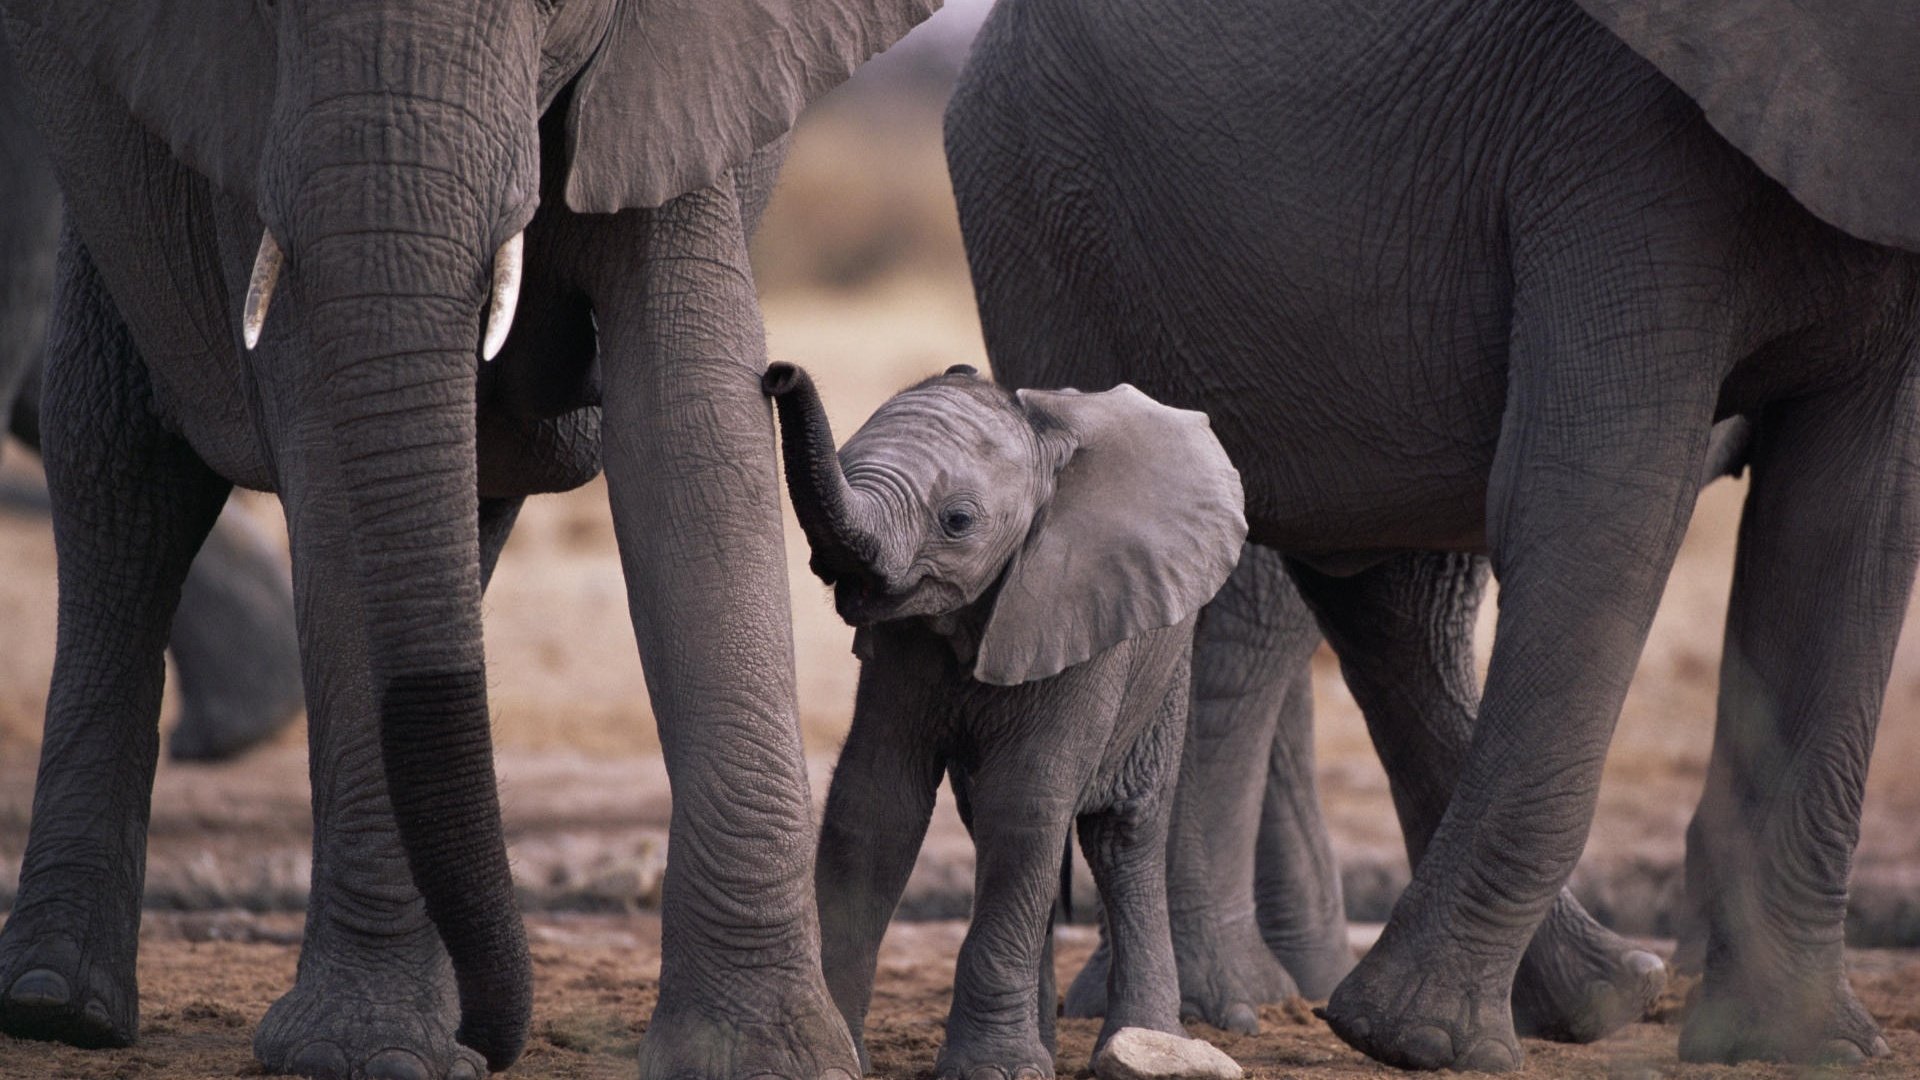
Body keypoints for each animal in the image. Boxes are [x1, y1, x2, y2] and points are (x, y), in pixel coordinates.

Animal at [765, 361, 1248, 1080]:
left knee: (1122, 834)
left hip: (1165, 664)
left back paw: (1144, 1042)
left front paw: (991, 1070)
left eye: (958, 521)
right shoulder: (903, 644)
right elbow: (875, 805)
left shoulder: (1080, 608)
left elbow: (1025, 803)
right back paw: (1044, 1047)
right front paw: (842, 1056)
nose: (778, 373)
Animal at [948, 0, 1920, 1071]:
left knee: (1383, 591)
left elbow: (1850, 535)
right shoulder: (1619, 144)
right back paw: (1226, 1013)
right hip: (1051, 213)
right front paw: (1419, 1043)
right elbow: (1599, 500)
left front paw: (1796, 1043)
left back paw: (1604, 994)